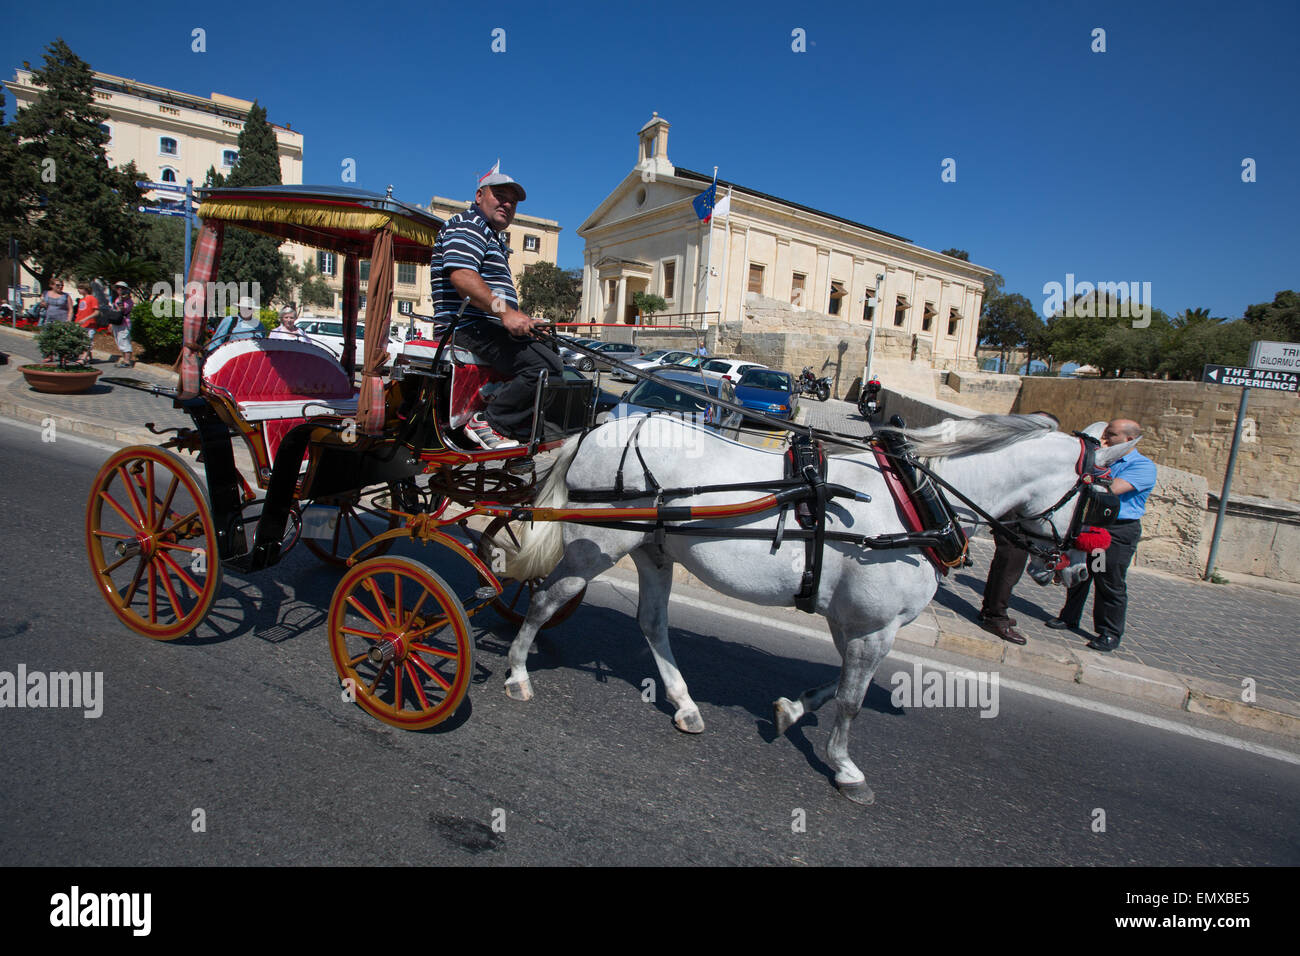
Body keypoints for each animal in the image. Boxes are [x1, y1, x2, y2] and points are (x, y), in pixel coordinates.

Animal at [496, 416, 1138, 806]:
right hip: (598, 544)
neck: (914, 500)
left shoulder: (852, 620)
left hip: (654, 549)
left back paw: (683, 703)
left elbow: (834, 685)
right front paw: (845, 768)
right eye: (1104, 500)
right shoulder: (874, 625)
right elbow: (851, 699)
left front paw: (790, 710)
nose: (1081, 572)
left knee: (651, 623)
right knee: (548, 599)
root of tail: (600, 427)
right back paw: (519, 671)